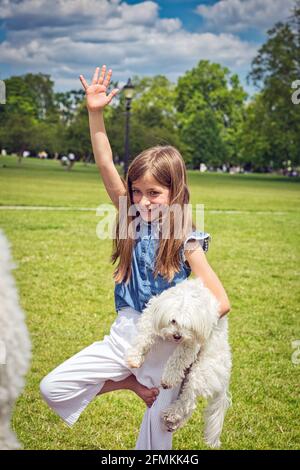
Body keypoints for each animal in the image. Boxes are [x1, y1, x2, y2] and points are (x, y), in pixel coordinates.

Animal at [126, 278, 232, 450]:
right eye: (173, 320)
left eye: (188, 325)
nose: (177, 336)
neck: (189, 295)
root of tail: (225, 374)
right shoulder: (153, 314)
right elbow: (144, 335)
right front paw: (135, 357)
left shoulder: (192, 341)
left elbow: (178, 358)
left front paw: (168, 379)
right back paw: (173, 423)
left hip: (199, 373)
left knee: (188, 402)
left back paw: (172, 415)